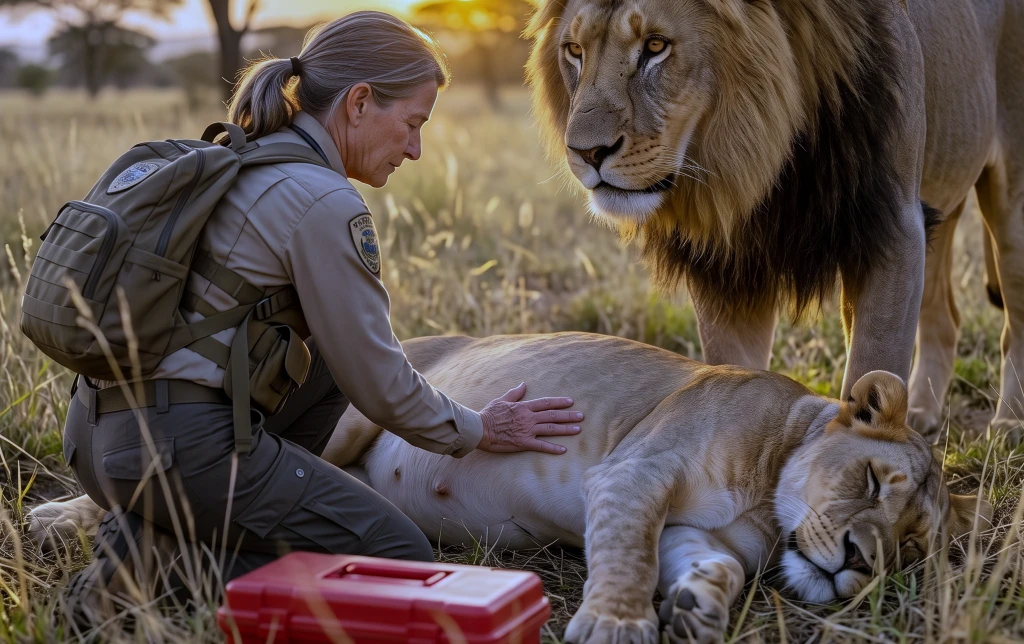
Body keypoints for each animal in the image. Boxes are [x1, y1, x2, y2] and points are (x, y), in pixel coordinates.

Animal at [28, 333, 988, 643]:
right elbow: (626, 551)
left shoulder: (704, 533)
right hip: (350, 408)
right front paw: (615, 624)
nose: (859, 562)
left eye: (912, 548)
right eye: (872, 479)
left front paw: (698, 609)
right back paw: (55, 522)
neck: (769, 486)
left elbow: (705, 565)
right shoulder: (635, 470)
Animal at [524, 0, 1024, 441]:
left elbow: (872, 365)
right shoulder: (727, 265)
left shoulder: (895, 229)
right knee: (945, 318)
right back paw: (921, 414)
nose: (586, 153)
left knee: (1013, 318)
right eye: (575, 50)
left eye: (655, 45)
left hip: (1010, 208)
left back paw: (1008, 427)